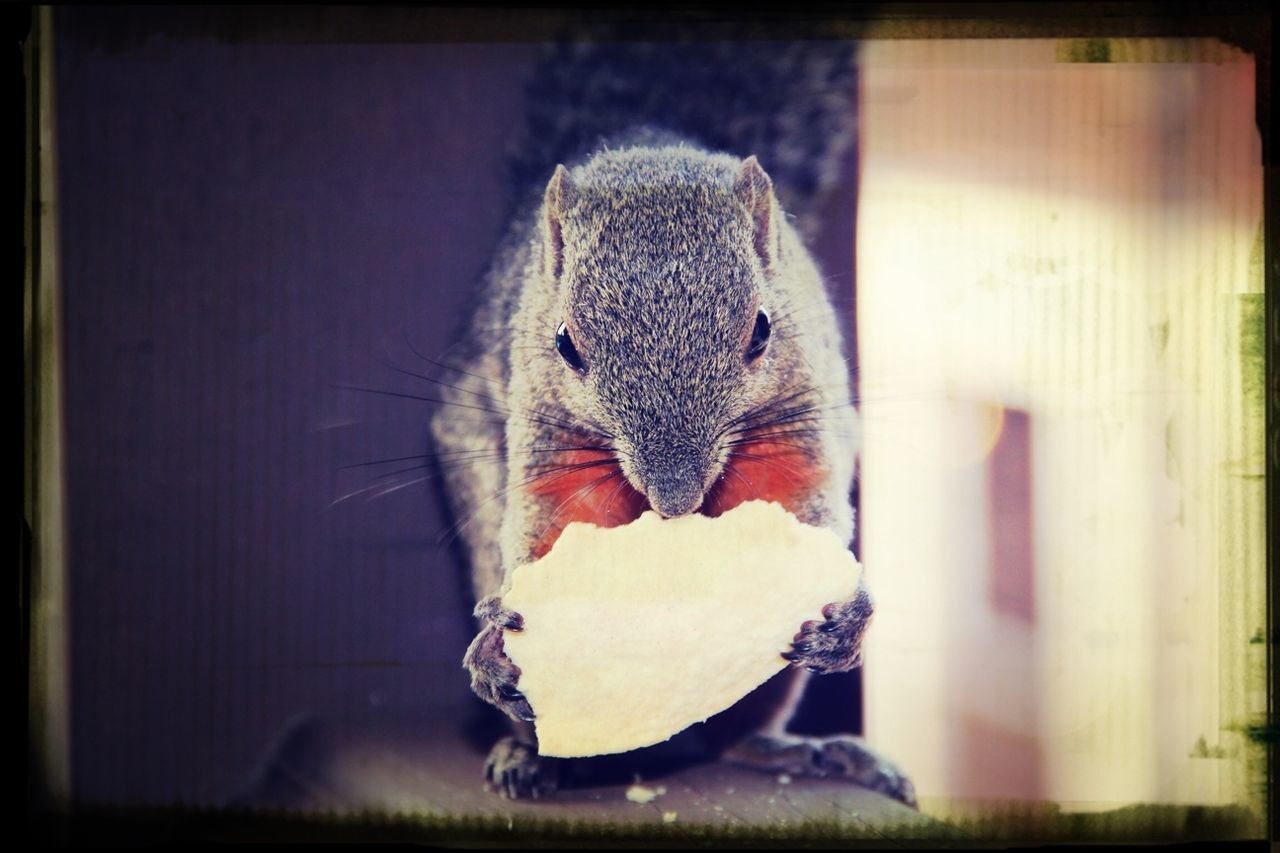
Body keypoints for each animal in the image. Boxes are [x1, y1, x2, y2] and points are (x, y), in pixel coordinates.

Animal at [432, 33, 921, 804]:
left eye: (762, 330)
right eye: (565, 342)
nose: (675, 499)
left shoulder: (804, 419)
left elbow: (812, 511)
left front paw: (850, 617)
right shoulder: (545, 436)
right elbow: (543, 529)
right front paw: (494, 652)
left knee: (740, 731)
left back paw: (802, 749)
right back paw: (529, 752)